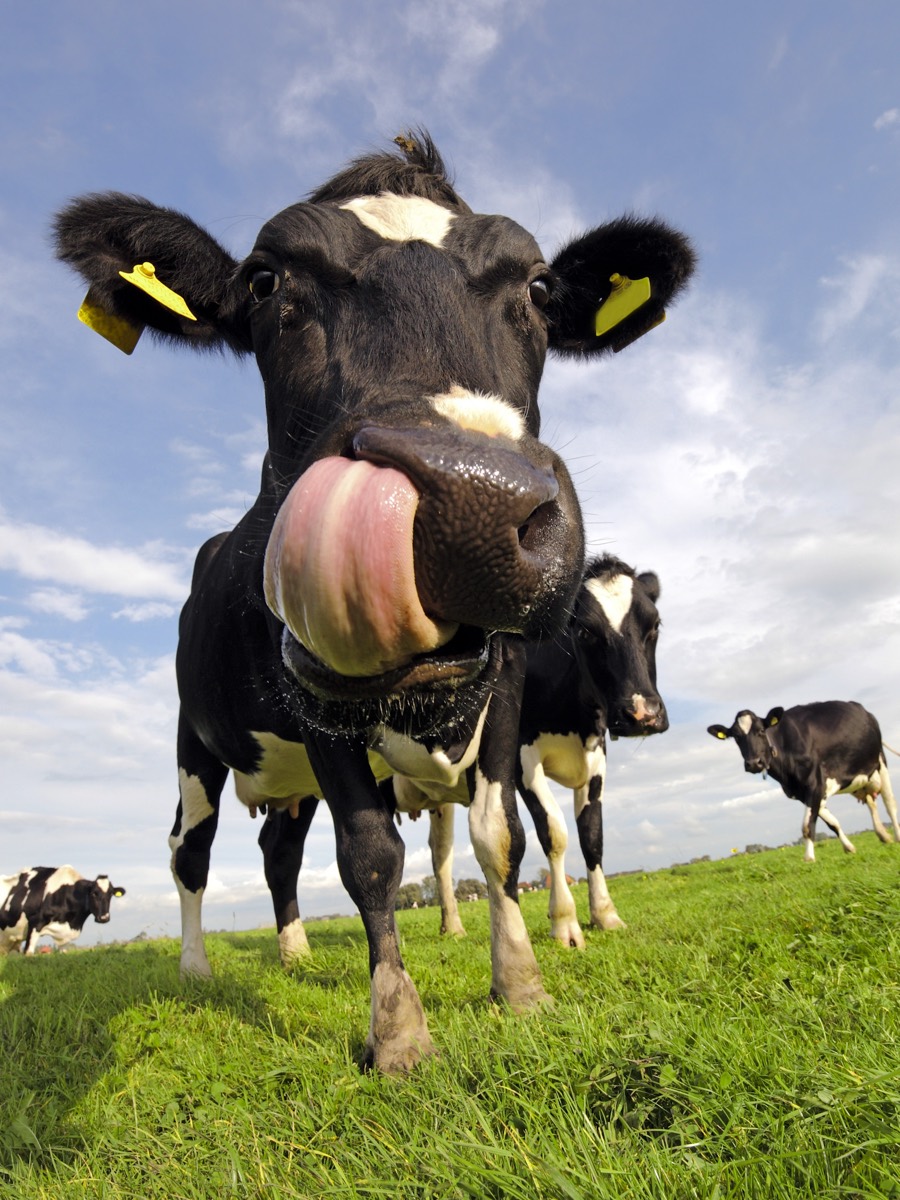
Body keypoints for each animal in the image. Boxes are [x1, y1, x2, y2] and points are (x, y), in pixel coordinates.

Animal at [55, 132, 695, 1072]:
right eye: (265, 283)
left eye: (540, 289)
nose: (473, 501)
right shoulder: (315, 696)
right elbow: (369, 855)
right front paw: (397, 1030)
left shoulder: (506, 692)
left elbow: (501, 837)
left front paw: (521, 984)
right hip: (194, 744)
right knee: (190, 850)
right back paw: (197, 967)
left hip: (286, 782)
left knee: (278, 851)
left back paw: (291, 949)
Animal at [707, 701, 900, 861]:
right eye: (736, 737)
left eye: (761, 731)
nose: (754, 763)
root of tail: (865, 711)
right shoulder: (803, 791)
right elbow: (832, 822)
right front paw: (849, 847)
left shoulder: (814, 784)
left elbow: (807, 826)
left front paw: (809, 858)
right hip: (860, 778)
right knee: (871, 802)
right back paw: (883, 835)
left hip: (880, 762)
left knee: (890, 804)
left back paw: (896, 835)